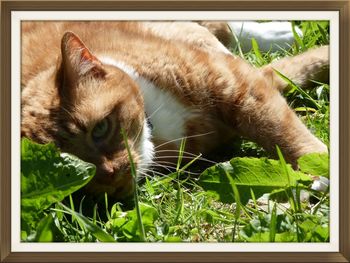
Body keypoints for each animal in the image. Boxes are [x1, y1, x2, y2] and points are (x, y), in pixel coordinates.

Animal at [21, 22, 328, 199]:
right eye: (71, 172)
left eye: (100, 128)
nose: (110, 173)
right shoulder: (255, 81)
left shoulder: (236, 83)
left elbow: (283, 130)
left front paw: (317, 171)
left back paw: (286, 32)